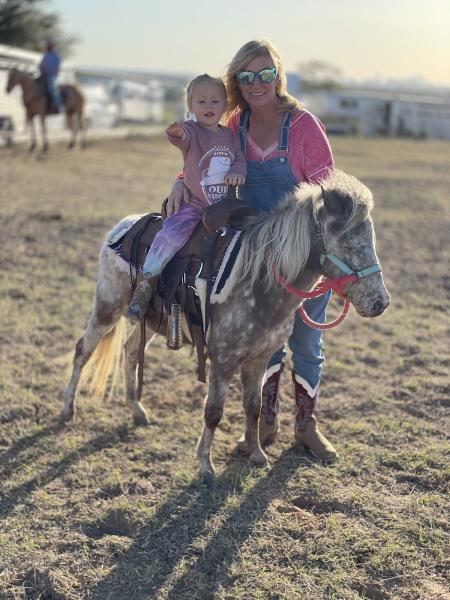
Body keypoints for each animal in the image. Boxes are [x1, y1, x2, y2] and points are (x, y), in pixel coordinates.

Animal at [60, 170, 390, 482]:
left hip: (154, 320)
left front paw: (256, 454)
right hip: (107, 307)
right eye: (349, 242)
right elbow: (213, 412)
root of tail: (124, 226)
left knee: (130, 352)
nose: (380, 302)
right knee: (82, 351)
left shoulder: (259, 358)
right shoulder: (223, 360)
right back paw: (67, 410)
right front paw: (206, 467)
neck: (258, 281)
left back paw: (137, 411)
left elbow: (254, 406)